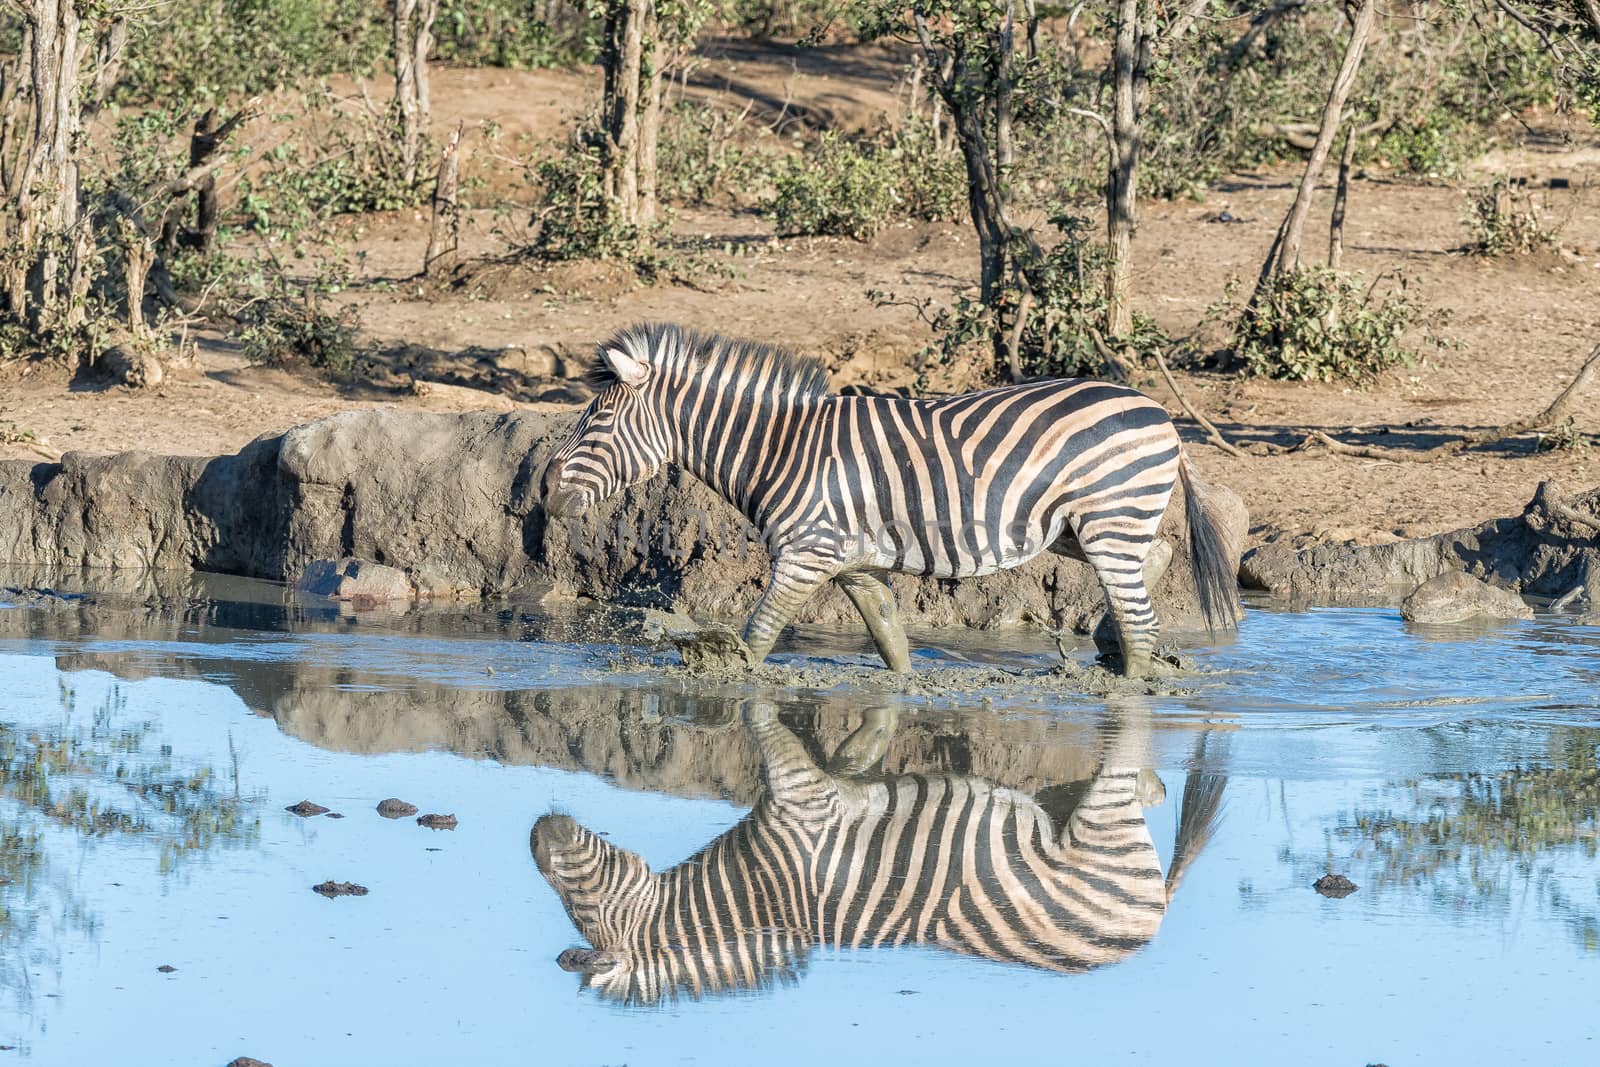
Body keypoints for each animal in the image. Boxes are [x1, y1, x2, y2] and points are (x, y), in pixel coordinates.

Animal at [528, 700, 1222, 1004]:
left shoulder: (801, 797)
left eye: (577, 903)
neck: (760, 887)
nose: (532, 837)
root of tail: (1143, 929)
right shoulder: (807, 794)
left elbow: (771, 726)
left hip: (1101, 828)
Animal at [544, 321, 1241, 681]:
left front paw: (730, 680)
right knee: (1155, 560)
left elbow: (757, 638)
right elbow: (890, 640)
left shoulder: (804, 555)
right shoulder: (854, 564)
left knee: (1140, 615)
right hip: (1077, 525)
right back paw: (1109, 641)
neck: (782, 449)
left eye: (596, 421)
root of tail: (1160, 411)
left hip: (1107, 517)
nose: (546, 493)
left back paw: (1128, 684)